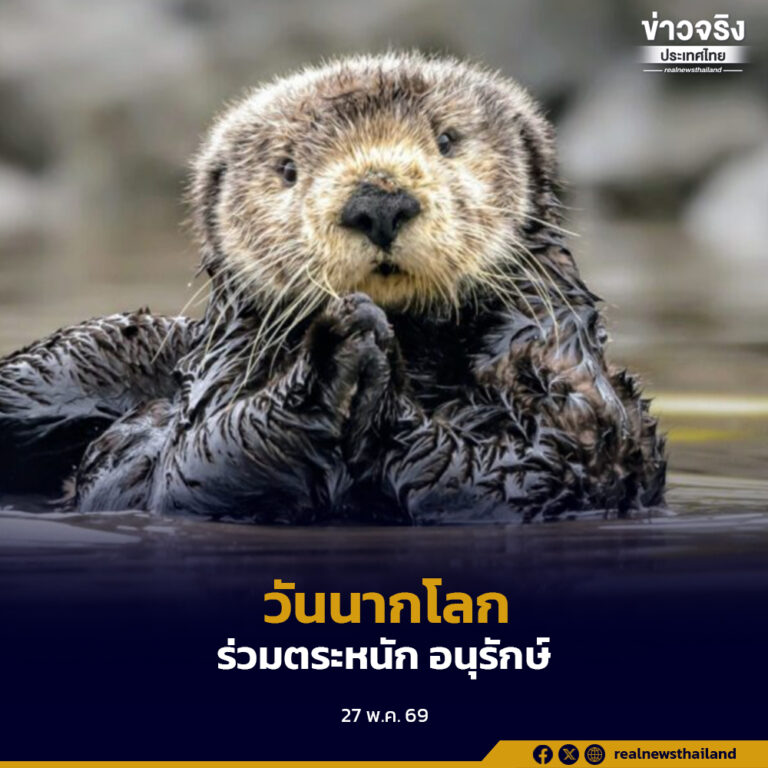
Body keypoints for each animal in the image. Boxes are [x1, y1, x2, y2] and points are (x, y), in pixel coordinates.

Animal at [0, 52, 665, 523]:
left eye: (447, 140)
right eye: (288, 168)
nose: (379, 201)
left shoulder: (569, 384)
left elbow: (544, 466)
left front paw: (366, 364)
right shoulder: (205, 405)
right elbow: (189, 466)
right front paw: (341, 350)